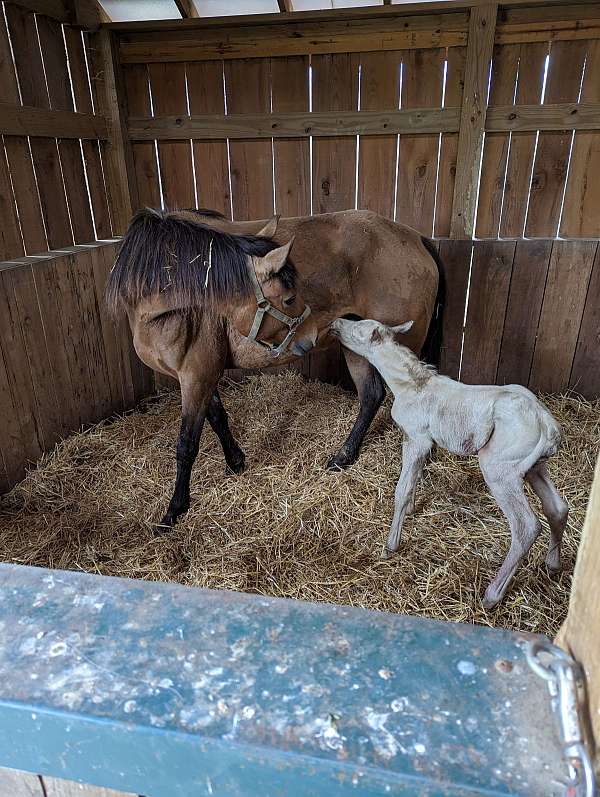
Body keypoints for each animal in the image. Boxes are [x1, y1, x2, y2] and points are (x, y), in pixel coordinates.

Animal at [328, 314, 568, 608]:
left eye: (357, 330)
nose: (335, 323)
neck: (412, 386)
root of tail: (548, 426)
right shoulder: (420, 442)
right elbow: (414, 479)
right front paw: (412, 510)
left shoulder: (417, 438)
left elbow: (402, 489)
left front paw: (390, 546)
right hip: (535, 467)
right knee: (557, 508)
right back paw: (553, 565)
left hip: (500, 469)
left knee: (526, 526)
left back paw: (491, 595)